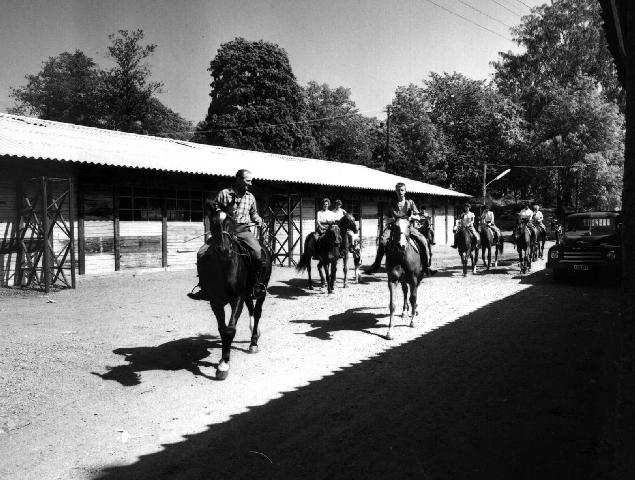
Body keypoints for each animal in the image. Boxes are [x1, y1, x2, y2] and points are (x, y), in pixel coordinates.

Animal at [196, 212, 270, 380]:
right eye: (213, 223)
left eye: (231, 223)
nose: (223, 250)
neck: (224, 267)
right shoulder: (215, 301)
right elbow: (222, 329)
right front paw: (223, 361)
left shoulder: (237, 299)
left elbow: (229, 330)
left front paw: (223, 365)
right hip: (248, 291)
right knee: (251, 308)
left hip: (261, 289)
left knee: (257, 312)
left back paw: (253, 343)